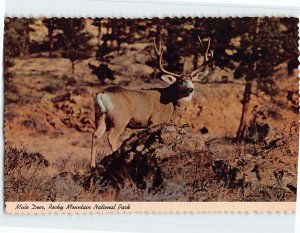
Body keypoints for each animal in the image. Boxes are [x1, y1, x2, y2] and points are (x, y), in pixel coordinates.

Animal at [90, 36, 212, 167]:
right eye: (180, 82)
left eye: (193, 81)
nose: (190, 89)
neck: (171, 103)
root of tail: (102, 93)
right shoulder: (155, 120)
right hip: (119, 118)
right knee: (111, 137)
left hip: (100, 115)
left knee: (95, 134)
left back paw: (92, 165)